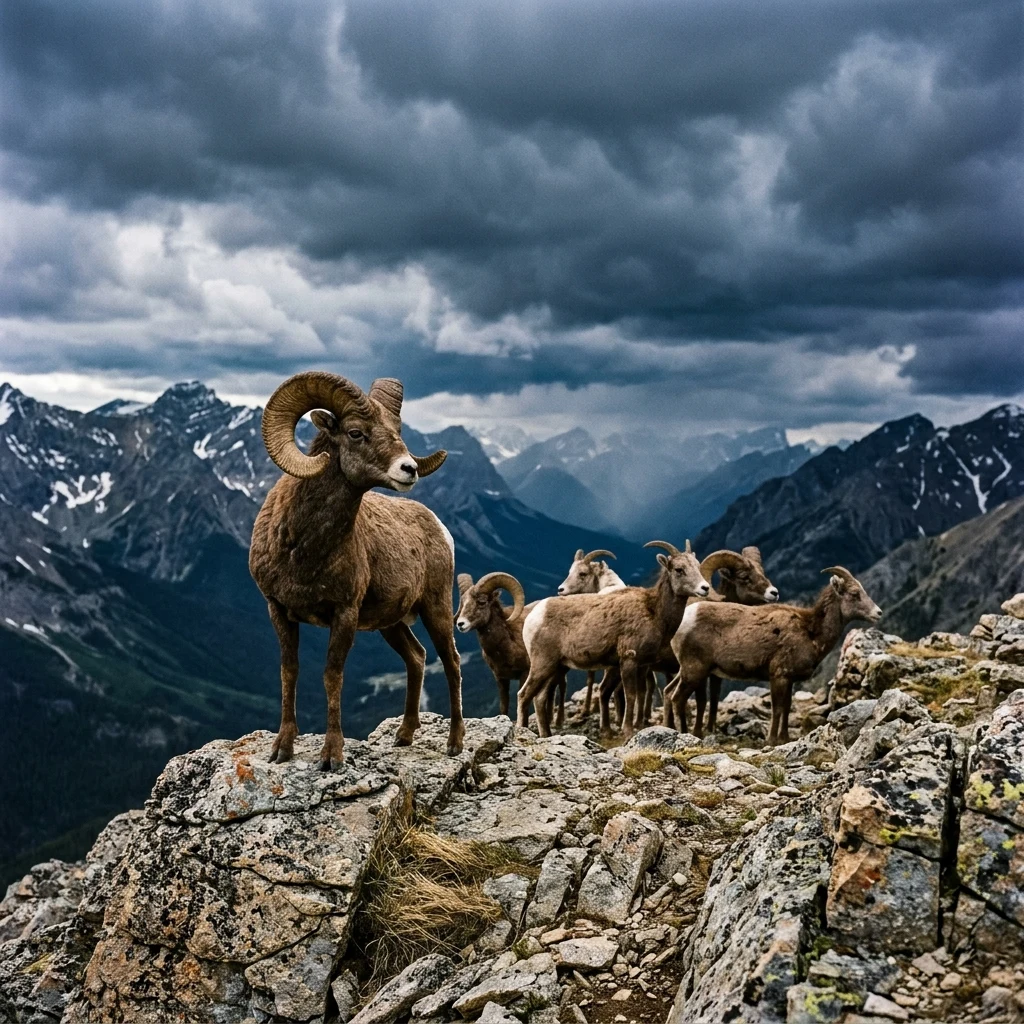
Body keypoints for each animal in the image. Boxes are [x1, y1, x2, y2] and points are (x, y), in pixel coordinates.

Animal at [249, 370, 462, 770]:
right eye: (355, 433)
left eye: (396, 429)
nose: (409, 469)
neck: (303, 548)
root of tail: (439, 527)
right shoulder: (278, 610)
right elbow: (289, 671)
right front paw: (282, 750)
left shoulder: (344, 613)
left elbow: (333, 676)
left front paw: (331, 757)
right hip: (391, 624)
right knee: (417, 658)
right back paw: (404, 736)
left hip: (435, 609)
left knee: (451, 661)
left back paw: (455, 743)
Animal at [454, 572, 532, 717]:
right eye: (463, 602)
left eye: (482, 602)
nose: (460, 624)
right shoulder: (500, 678)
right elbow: (503, 707)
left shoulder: (525, 674)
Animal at [517, 540, 710, 738]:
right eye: (679, 569)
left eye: (697, 566)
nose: (705, 588)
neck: (654, 612)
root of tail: (535, 615)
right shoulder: (629, 661)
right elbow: (630, 696)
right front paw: (627, 731)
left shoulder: (637, 665)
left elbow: (635, 694)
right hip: (542, 664)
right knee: (523, 695)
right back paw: (522, 731)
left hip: (556, 667)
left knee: (539, 698)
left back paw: (546, 734)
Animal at [668, 566, 881, 745]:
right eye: (854, 593)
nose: (878, 613)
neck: (811, 632)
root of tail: (685, 619)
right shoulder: (778, 676)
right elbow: (777, 709)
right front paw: (771, 741)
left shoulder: (789, 680)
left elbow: (786, 708)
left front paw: (784, 739)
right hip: (694, 671)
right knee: (677, 698)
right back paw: (684, 734)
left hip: (687, 671)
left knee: (669, 692)